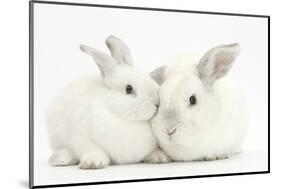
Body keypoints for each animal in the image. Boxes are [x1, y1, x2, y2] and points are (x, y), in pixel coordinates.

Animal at [46, 35, 164, 168]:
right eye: (129, 89)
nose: (156, 103)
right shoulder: (83, 137)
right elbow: (93, 149)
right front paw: (92, 163)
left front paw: (158, 157)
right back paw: (61, 159)